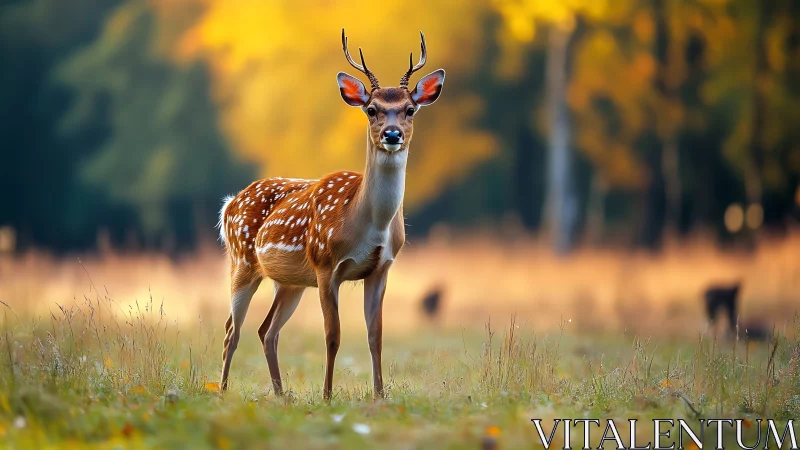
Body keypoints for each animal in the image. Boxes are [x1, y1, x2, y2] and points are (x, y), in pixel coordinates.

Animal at [217, 29, 445, 401]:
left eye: (410, 109)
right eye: (371, 109)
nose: (392, 134)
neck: (368, 223)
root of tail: (229, 204)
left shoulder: (382, 268)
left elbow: (375, 337)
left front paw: (380, 395)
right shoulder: (325, 266)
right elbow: (332, 336)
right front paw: (327, 395)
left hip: (290, 282)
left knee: (267, 330)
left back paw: (281, 394)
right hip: (242, 262)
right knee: (231, 330)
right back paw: (221, 391)